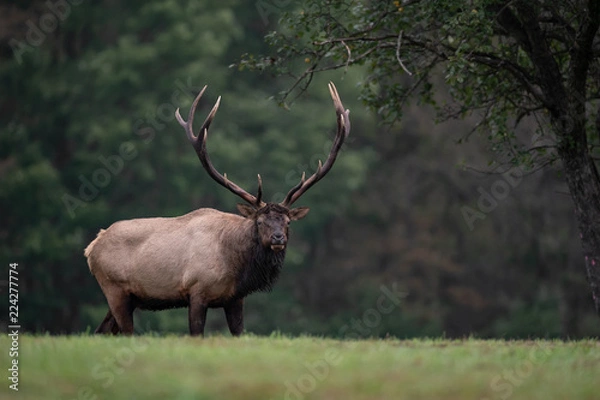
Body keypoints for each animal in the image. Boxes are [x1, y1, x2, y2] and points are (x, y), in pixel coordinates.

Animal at [82, 83, 350, 336]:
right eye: (259, 221)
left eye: (287, 222)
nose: (278, 238)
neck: (235, 264)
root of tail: (92, 246)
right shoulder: (196, 291)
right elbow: (196, 334)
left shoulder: (235, 298)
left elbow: (239, 333)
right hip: (114, 289)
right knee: (125, 332)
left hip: (128, 298)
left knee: (101, 331)